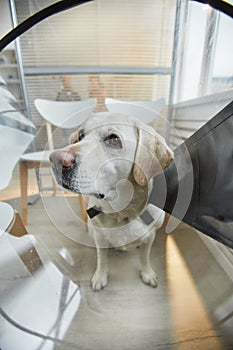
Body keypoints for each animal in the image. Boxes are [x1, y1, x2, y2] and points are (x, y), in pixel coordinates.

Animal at [49, 111, 173, 290]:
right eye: (80, 136)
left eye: (114, 139)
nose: (56, 159)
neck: (122, 213)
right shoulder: (99, 237)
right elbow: (102, 259)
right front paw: (100, 277)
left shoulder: (150, 236)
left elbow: (145, 257)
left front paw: (147, 274)